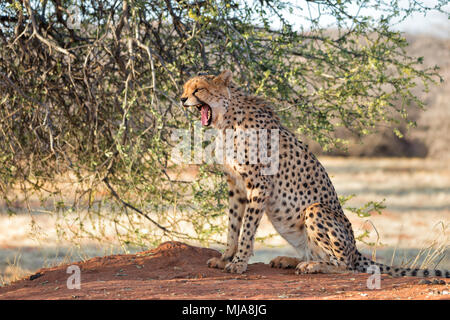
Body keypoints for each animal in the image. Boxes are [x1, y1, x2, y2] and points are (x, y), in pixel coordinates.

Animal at [181, 70, 448, 278]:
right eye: (185, 88)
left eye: (199, 89)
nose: (182, 99)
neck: (227, 120)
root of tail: (355, 250)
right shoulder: (235, 186)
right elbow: (233, 225)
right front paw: (226, 257)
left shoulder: (258, 185)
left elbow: (246, 228)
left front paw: (238, 263)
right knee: (317, 254)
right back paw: (290, 260)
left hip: (316, 209)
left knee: (345, 265)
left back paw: (313, 266)